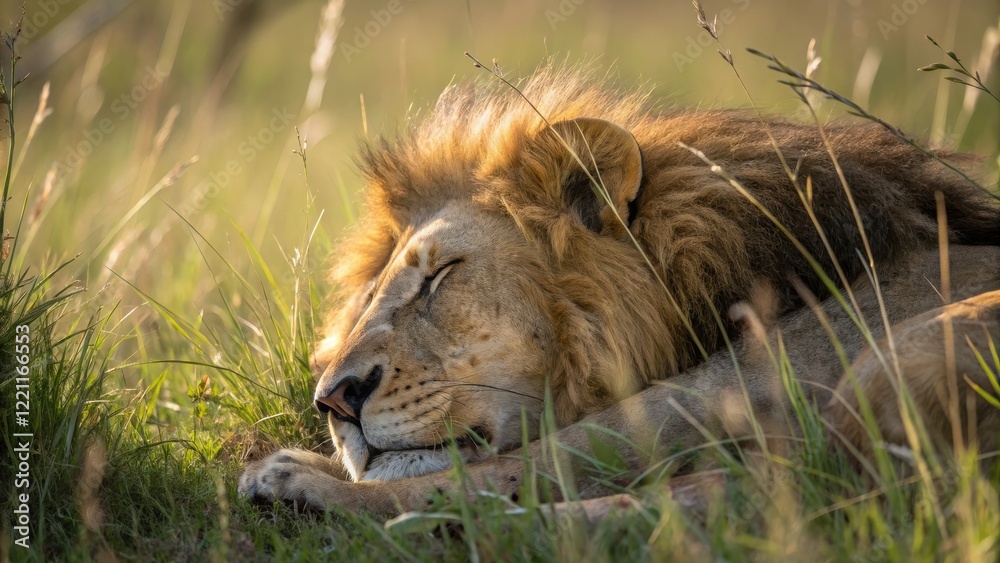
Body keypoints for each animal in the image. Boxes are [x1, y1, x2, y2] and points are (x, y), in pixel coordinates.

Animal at [239, 67, 1000, 514]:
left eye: (440, 275)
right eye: (369, 300)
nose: (334, 401)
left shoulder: (734, 384)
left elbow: (521, 461)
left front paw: (297, 475)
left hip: (882, 367)